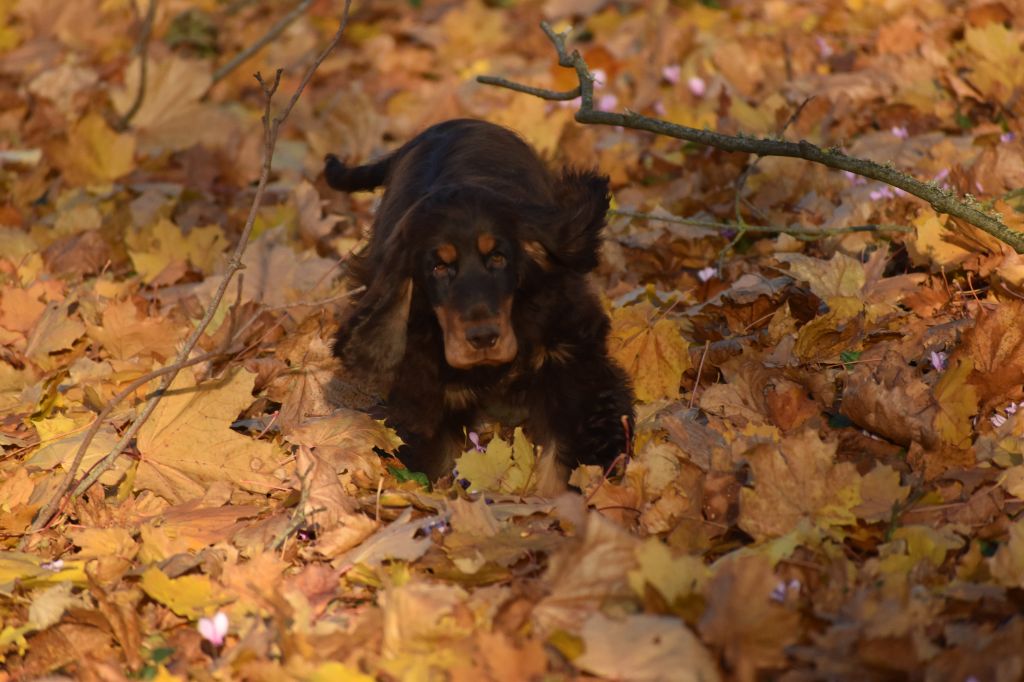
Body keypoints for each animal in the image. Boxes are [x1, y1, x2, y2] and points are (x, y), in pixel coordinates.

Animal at [325, 118, 630, 477]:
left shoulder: (570, 361)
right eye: (439, 267)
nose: (483, 338)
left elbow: (563, 455)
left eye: (498, 257)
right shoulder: (427, 392)